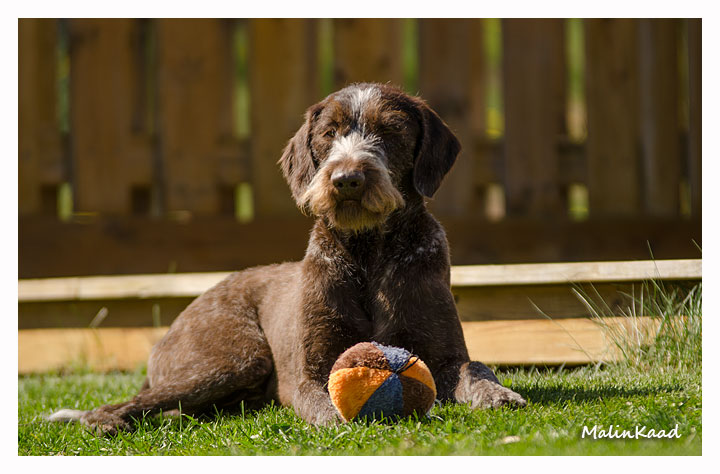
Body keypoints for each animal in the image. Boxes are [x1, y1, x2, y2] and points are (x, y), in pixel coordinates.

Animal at [49, 83, 526, 435]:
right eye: (329, 133)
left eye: (390, 131)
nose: (346, 179)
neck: (368, 253)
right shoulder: (310, 372)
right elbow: (322, 400)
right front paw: (338, 419)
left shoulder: (446, 357)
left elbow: (476, 369)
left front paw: (500, 394)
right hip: (230, 359)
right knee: (128, 402)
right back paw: (102, 422)